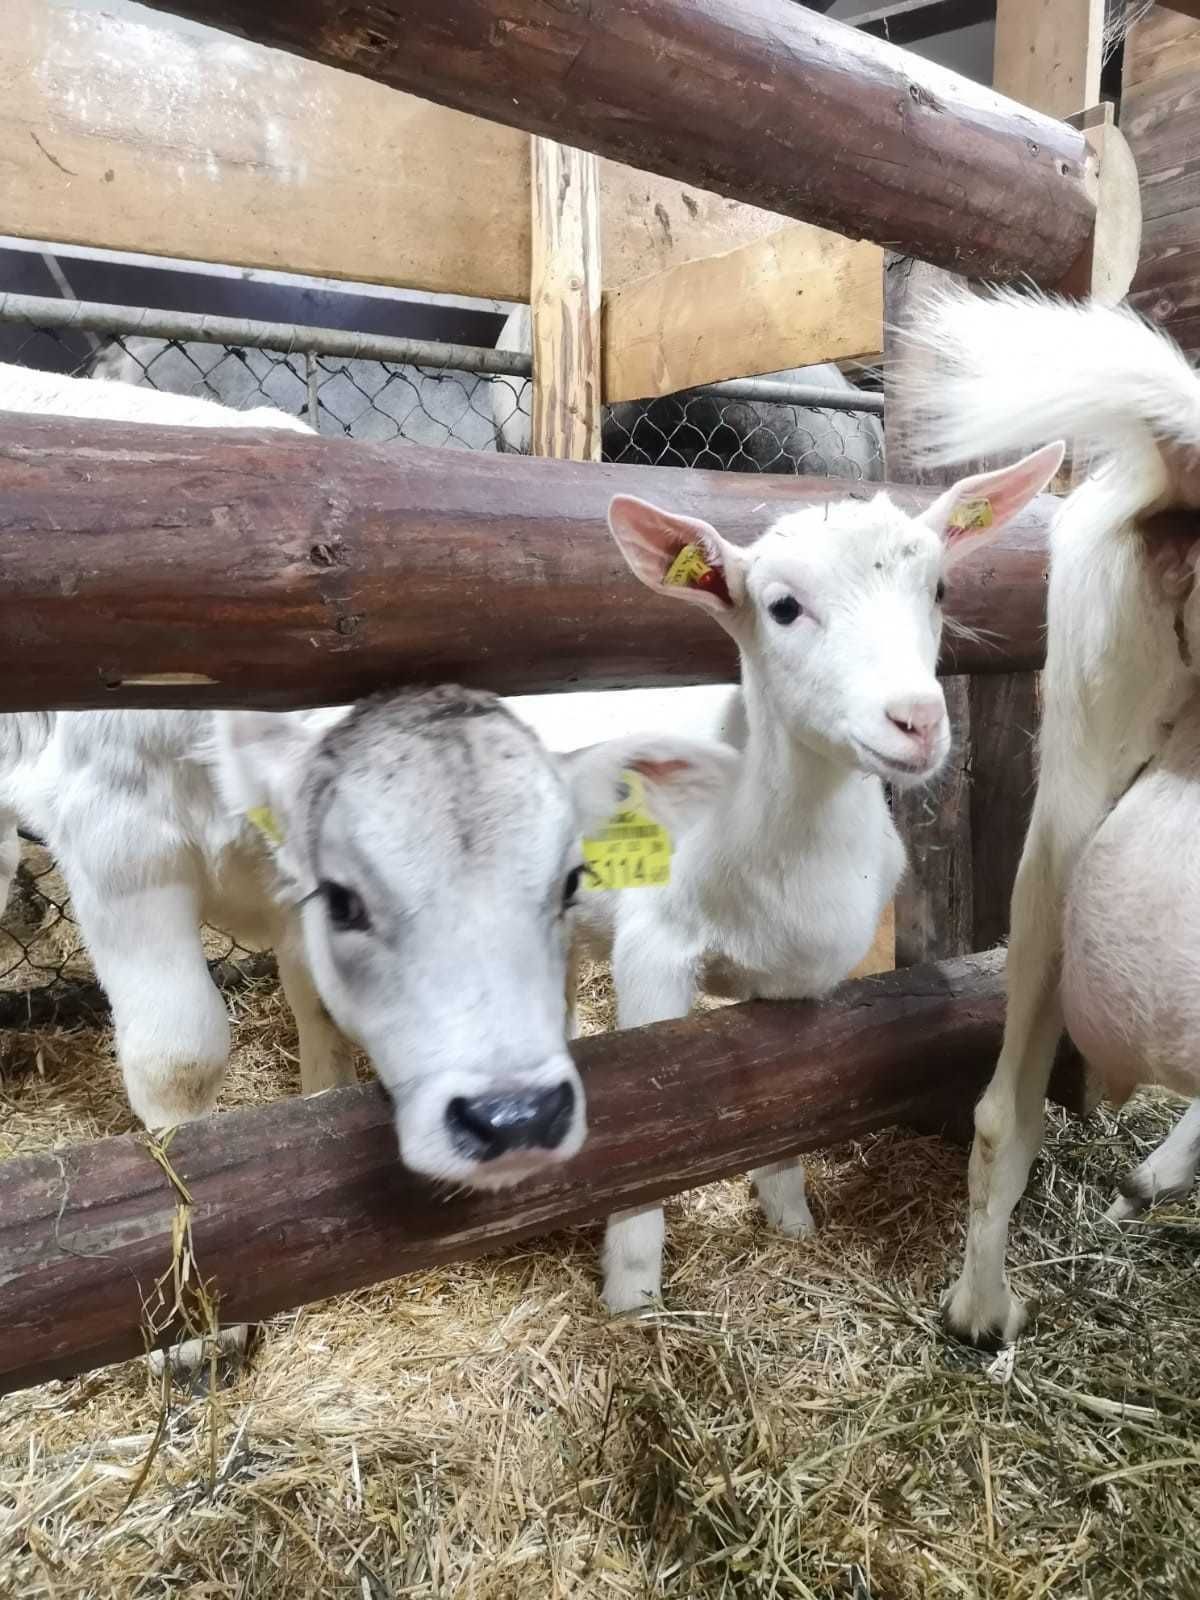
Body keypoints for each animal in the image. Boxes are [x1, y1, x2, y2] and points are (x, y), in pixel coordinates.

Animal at [569, 445, 1064, 1313]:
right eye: (783, 607)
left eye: (939, 588)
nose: (917, 720)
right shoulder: (651, 949)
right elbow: (641, 1128)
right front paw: (633, 1297)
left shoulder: (795, 987)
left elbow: (787, 1106)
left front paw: (791, 1220)